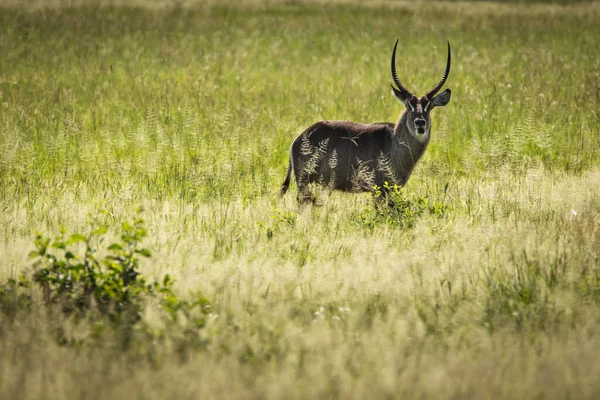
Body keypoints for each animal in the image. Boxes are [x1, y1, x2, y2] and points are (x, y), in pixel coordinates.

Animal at [282, 40, 450, 202]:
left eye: (429, 106)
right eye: (409, 105)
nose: (420, 122)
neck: (393, 140)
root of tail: (298, 139)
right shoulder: (378, 189)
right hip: (304, 182)